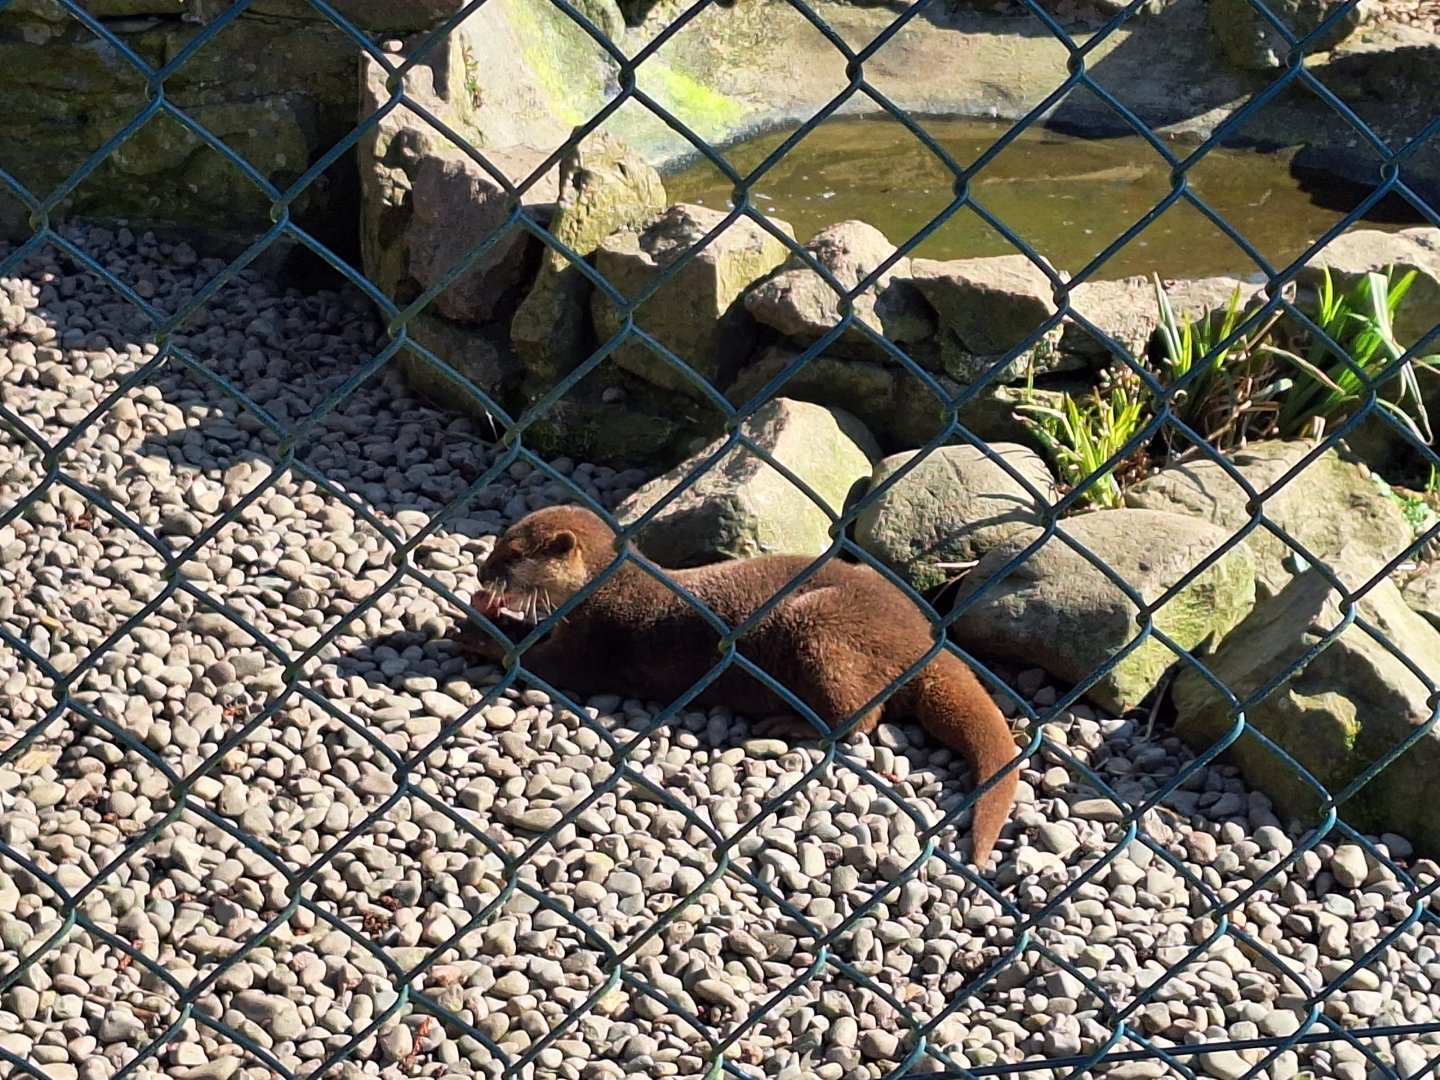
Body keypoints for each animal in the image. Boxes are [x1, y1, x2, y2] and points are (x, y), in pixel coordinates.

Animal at [449, 505, 1021, 865]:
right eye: (496, 544)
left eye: (512, 556)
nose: (480, 572)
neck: (607, 587)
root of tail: (924, 638)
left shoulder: (594, 642)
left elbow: (543, 665)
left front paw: (478, 633)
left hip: (821, 627)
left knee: (861, 719)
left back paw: (787, 726)